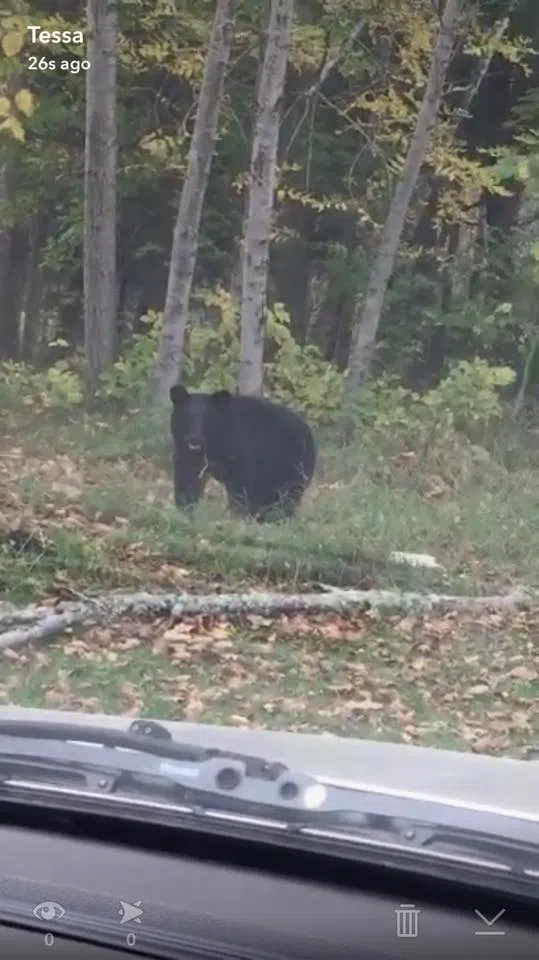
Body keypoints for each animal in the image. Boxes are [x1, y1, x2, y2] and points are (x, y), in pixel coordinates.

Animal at [171, 382, 318, 520]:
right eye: (187, 416)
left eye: (207, 418)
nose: (194, 439)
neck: (215, 444)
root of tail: (309, 434)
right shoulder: (188, 453)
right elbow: (188, 478)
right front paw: (185, 509)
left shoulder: (242, 450)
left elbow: (240, 486)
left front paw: (235, 515)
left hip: (290, 466)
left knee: (284, 496)